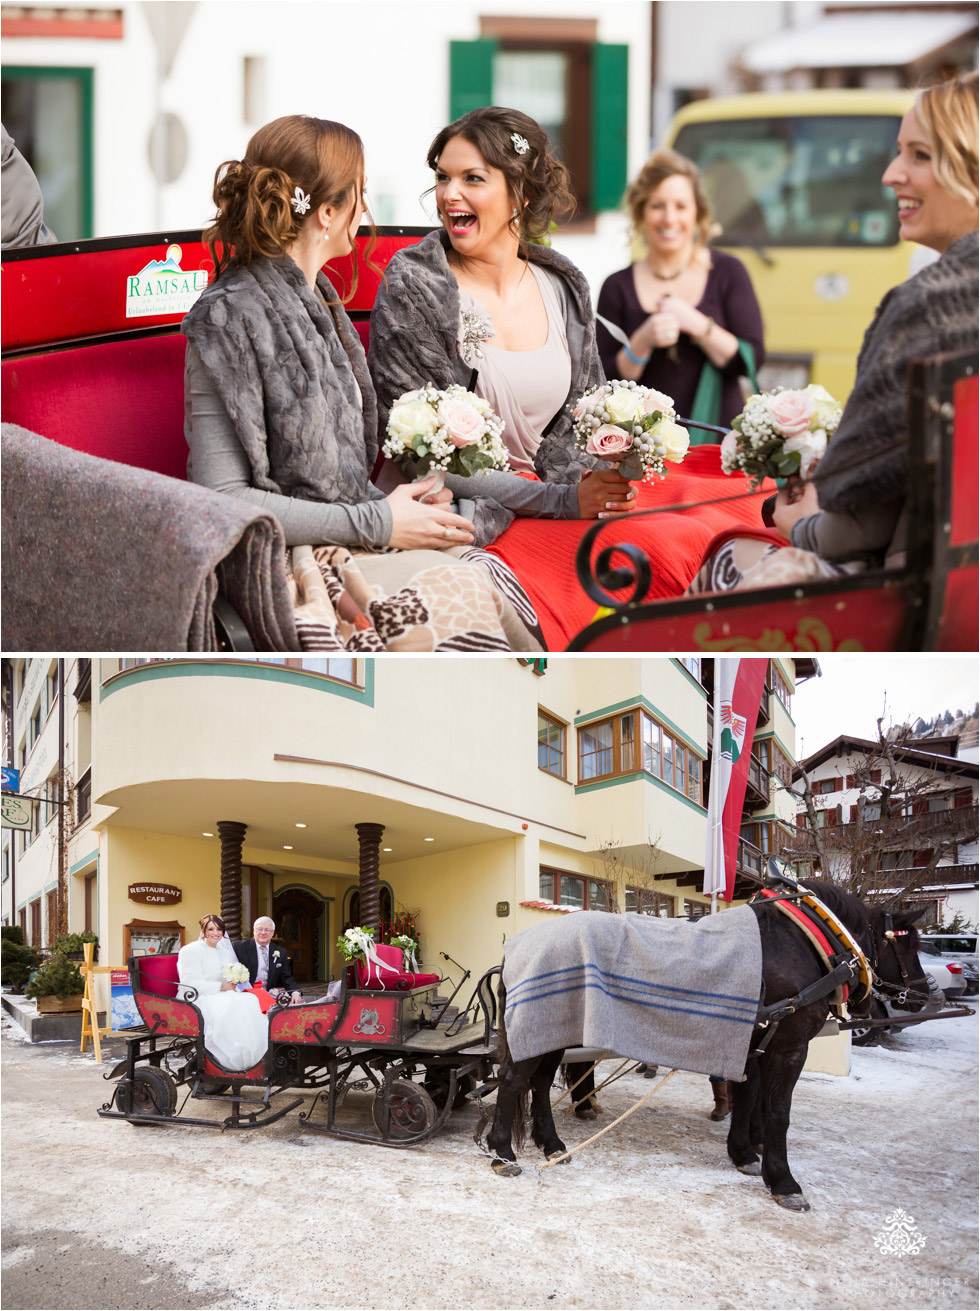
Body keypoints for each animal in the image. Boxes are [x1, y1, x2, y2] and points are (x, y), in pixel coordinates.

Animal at [487, 875, 932, 1211]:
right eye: (907, 942)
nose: (924, 995)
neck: (806, 937)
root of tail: (516, 947)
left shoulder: (754, 1039)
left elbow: (750, 1098)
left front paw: (746, 1153)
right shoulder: (790, 1044)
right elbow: (778, 1111)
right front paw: (783, 1180)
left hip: (551, 1032)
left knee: (539, 1083)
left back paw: (551, 1144)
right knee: (512, 1081)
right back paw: (501, 1153)